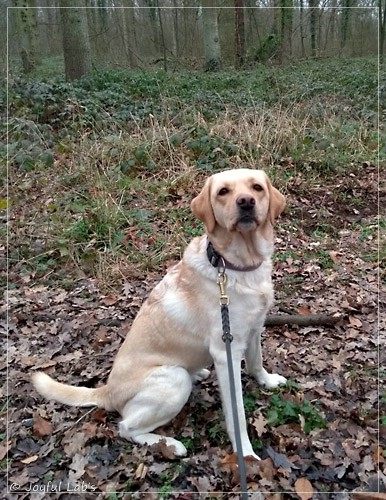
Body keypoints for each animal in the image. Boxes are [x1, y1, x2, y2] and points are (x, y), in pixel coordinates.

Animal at [32, 170, 286, 458]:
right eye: (223, 192)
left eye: (257, 187)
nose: (246, 202)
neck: (236, 266)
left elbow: (255, 362)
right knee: (126, 428)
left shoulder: (254, 328)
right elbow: (237, 415)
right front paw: (245, 454)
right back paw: (169, 445)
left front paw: (267, 381)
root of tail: (107, 391)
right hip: (173, 380)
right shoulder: (226, 352)